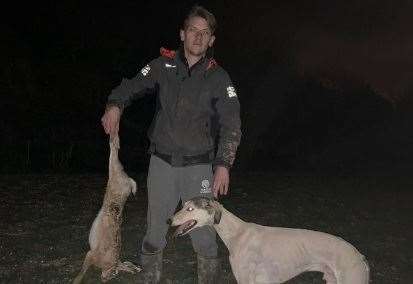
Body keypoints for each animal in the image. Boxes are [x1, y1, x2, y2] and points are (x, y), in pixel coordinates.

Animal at [72, 136, 140, 284]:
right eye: (115, 273)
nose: (113, 274)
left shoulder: (90, 254)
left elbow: (84, 270)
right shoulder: (93, 256)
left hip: (114, 176)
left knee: (114, 155)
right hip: (116, 176)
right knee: (117, 159)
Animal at [169, 196, 368, 284]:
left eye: (190, 209)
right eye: (184, 205)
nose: (168, 220)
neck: (237, 233)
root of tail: (360, 256)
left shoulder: (246, 281)